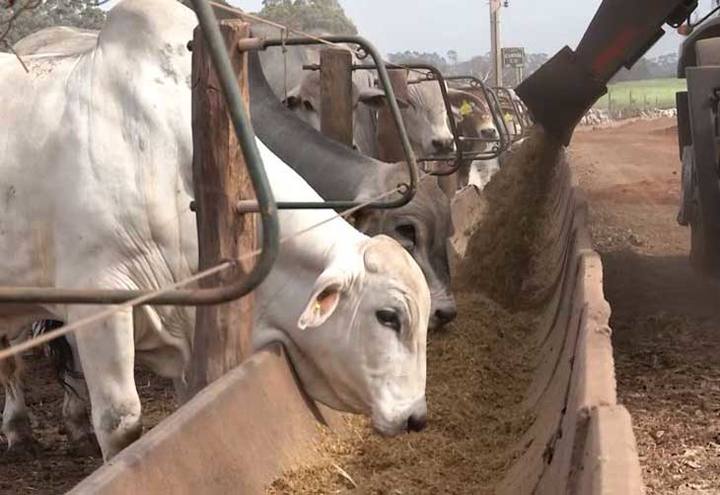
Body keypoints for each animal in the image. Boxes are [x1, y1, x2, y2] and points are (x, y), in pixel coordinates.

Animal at [0, 0, 428, 462]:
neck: (163, 159)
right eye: (389, 316)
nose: (416, 416)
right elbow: (120, 424)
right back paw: (18, 428)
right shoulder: (99, 303)